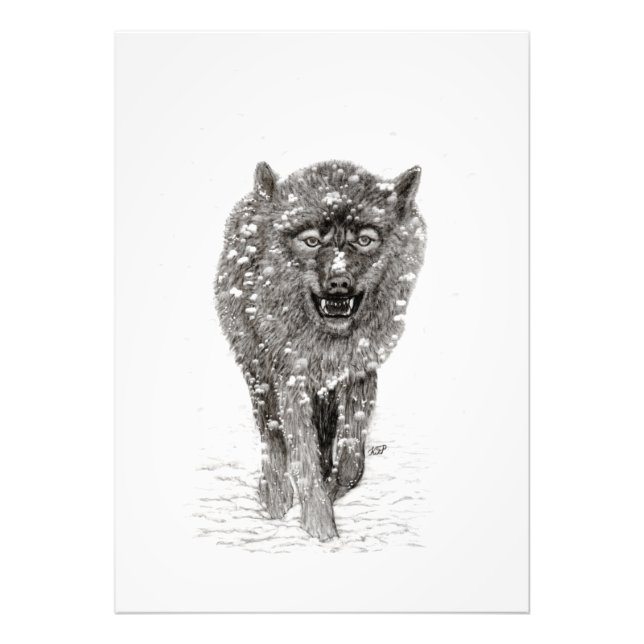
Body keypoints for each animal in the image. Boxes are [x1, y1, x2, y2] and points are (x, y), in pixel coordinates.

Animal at [215, 160, 426, 540]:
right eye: (311, 241)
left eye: (364, 239)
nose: (339, 283)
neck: (329, 343)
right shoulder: (291, 380)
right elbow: (302, 455)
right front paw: (319, 526)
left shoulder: (359, 373)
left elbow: (352, 460)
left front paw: (330, 491)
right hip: (258, 374)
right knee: (271, 436)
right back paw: (274, 494)